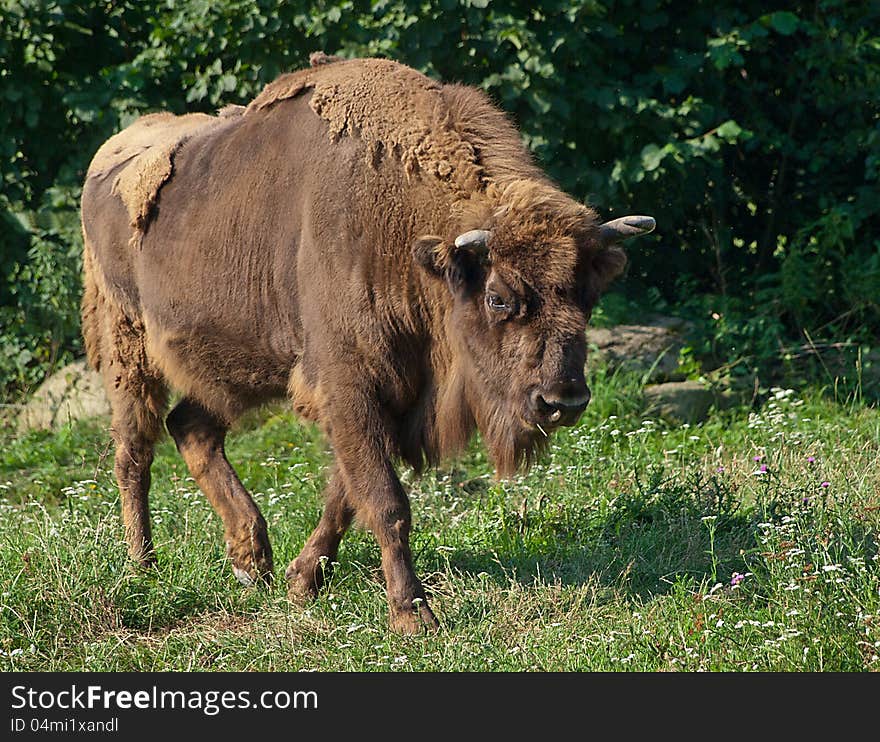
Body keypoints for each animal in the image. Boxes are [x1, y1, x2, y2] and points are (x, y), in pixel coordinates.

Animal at [81, 55, 652, 632]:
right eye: (497, 297)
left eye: (588, 295)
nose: (563, 401)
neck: (410, 235)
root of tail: (109, 154)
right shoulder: (351, 384)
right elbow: (385, 500)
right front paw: (412, 614)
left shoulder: (390, 394)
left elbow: (346, 493)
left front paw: (302, 582)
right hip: (126, 346)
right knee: (134, 453)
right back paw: (143, 566)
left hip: (233, 366)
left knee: (191, 428)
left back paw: (252, 561)